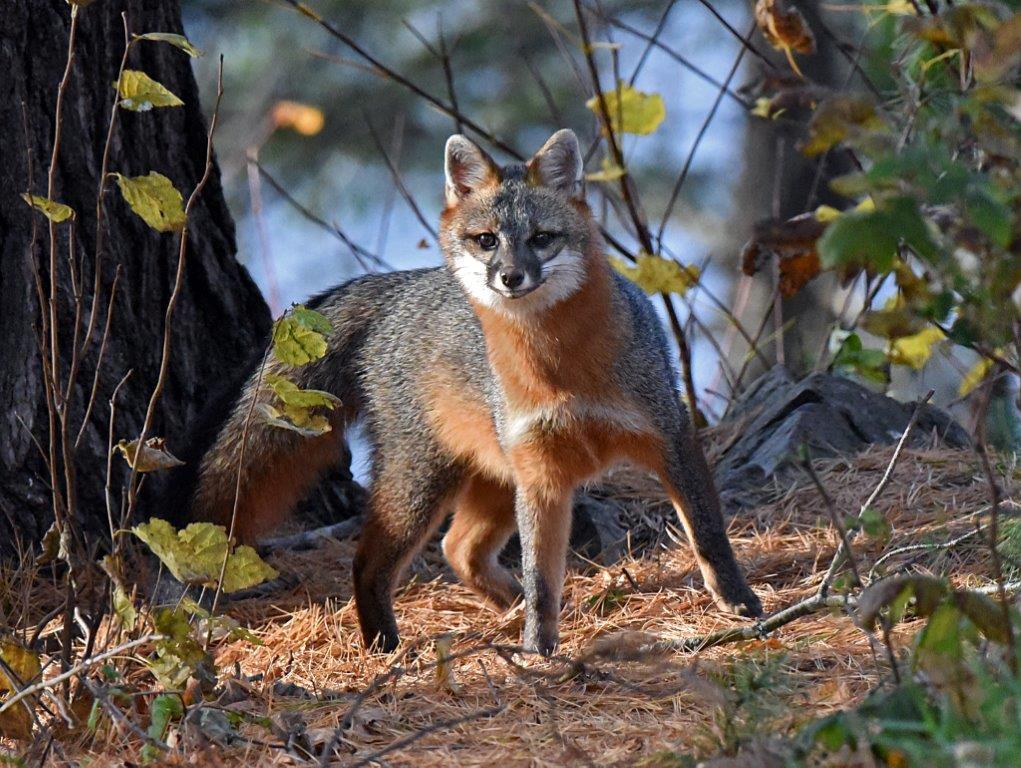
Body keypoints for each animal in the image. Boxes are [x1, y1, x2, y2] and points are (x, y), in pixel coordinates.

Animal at [182, 128, 762, 654]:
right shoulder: (542, 475)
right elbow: (543, 576)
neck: (561, 371)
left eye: (542, 238)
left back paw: (505, 609)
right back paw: (385, 646)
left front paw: (740, 603)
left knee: (459, 549)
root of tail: (401, 286)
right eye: (487, 240)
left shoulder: (670, 435)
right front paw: (538, 647)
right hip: (425, 482)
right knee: (372, 561)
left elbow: (708, 531)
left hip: (491, 479)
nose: (510, 277)